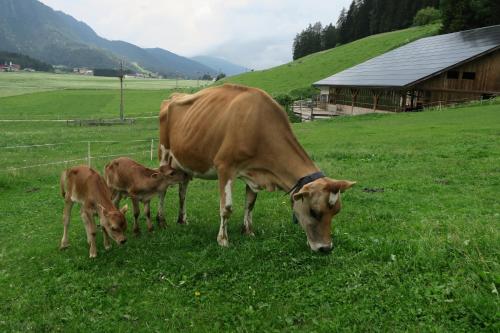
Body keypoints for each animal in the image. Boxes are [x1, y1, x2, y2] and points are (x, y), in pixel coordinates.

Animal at [158, 85, 354, 252]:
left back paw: (182, 219)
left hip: (184, 163)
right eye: (314, 212)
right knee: (162, 190)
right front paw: (223, 240)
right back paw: (161, 221)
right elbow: (226, 208)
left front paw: (248, 231)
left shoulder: (254, 173)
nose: (326, 248)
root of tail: (174, 96)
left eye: (336, 211)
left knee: (183, 191)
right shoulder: (225, 167)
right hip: (164, 154)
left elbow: (250, 204)